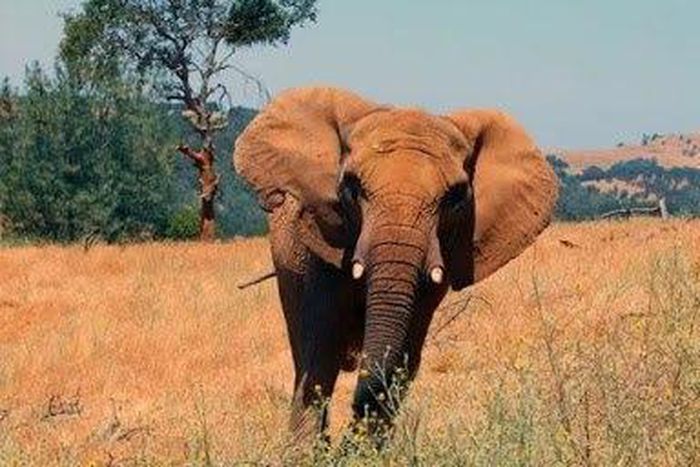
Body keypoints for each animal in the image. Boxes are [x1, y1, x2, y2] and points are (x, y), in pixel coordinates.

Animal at [233, 87, 558, 442]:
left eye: (456, 197)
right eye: (351, 186)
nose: (351, 432)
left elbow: (405, 354)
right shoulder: (323, 246)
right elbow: (321, 348)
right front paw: (311, 450)